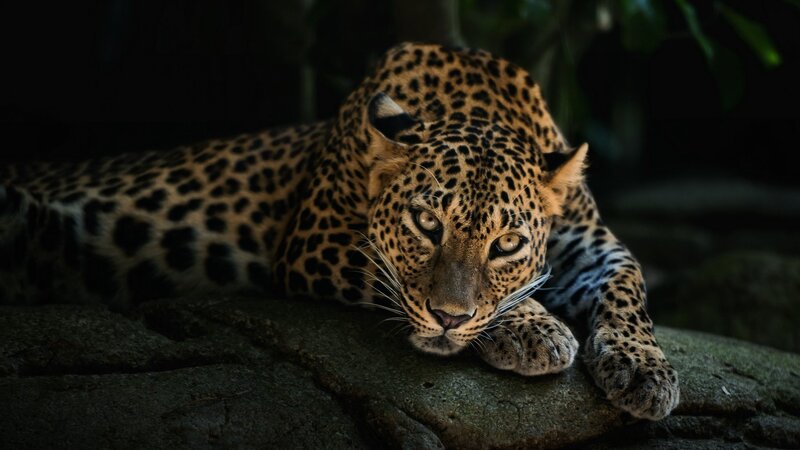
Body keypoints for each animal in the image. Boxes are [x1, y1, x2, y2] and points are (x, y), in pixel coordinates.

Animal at [0, 42, 679, 420]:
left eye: (507, 244)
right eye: (426, 224)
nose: (450, 320)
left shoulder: (591, 243)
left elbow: (629, 284)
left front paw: (644, 370)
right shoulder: (314, 240)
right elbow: (395, 278)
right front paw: (536, 328)